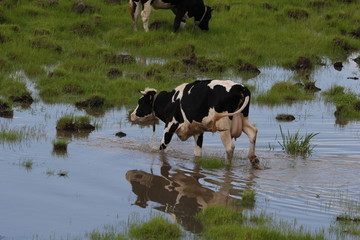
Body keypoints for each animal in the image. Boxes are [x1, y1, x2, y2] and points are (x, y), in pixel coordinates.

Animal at [130, 79, 258, 166]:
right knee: (253, 131)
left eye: (140, 102)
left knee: (230, 147)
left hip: (223, 124)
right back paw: (253, 158)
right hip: (243, 117)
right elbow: (197, 153)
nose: (132, 115)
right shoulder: (198, 130)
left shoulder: (170, 125)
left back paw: (227, 166)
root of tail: (240, 88)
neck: (169, 101)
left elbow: (162, 147)